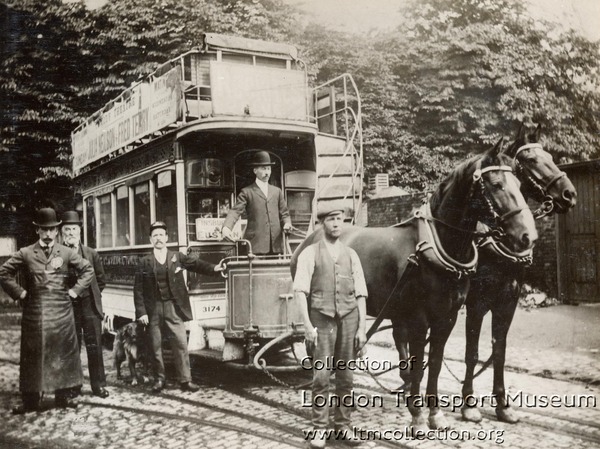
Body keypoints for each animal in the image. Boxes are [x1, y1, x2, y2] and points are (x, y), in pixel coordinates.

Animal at [292, 142, 536, 428]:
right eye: (496, 184)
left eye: (520, 184)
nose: (528, 236)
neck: (437, 247)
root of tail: (309, 238)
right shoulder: (421, 318)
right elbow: (421, 364)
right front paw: (418, 416)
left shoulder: (448, 317)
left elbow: (436, 363)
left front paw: (435, 413)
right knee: (316, 346)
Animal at [460, 123, 576, 424]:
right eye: (532, 160)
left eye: (550, 156)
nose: (569, 194)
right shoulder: (477, 304)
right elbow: (472, 353)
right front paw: (468, 404)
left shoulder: (507, 303)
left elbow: (499, 352)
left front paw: (503, 405)